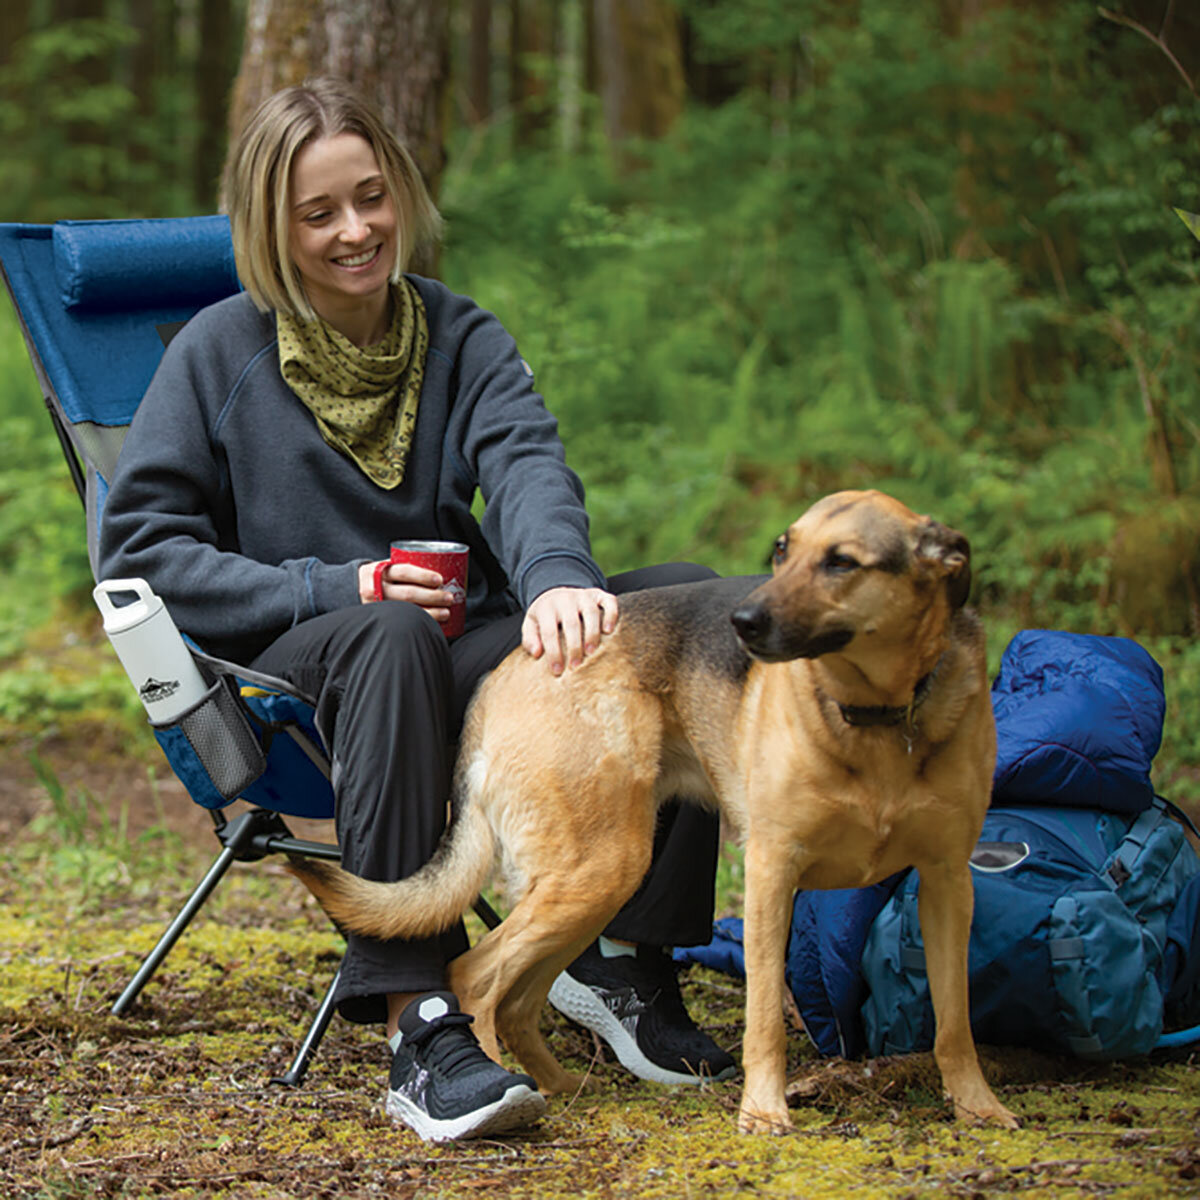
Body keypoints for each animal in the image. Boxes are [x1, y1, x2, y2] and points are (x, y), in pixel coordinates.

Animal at [285, 489, 1017, 1132]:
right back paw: (498, 1091)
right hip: (600, 868)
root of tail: (504, 673)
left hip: (596, 879)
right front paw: (764, 1113)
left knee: (519, 998)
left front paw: (978, 1107)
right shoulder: (773, 873)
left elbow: (955, 1019)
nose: (742, 623)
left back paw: (558, 1084)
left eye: (842, 562)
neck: (877, 714)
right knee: (476, 978)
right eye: (783, 551)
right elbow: (765, 1020)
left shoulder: (949, 883)